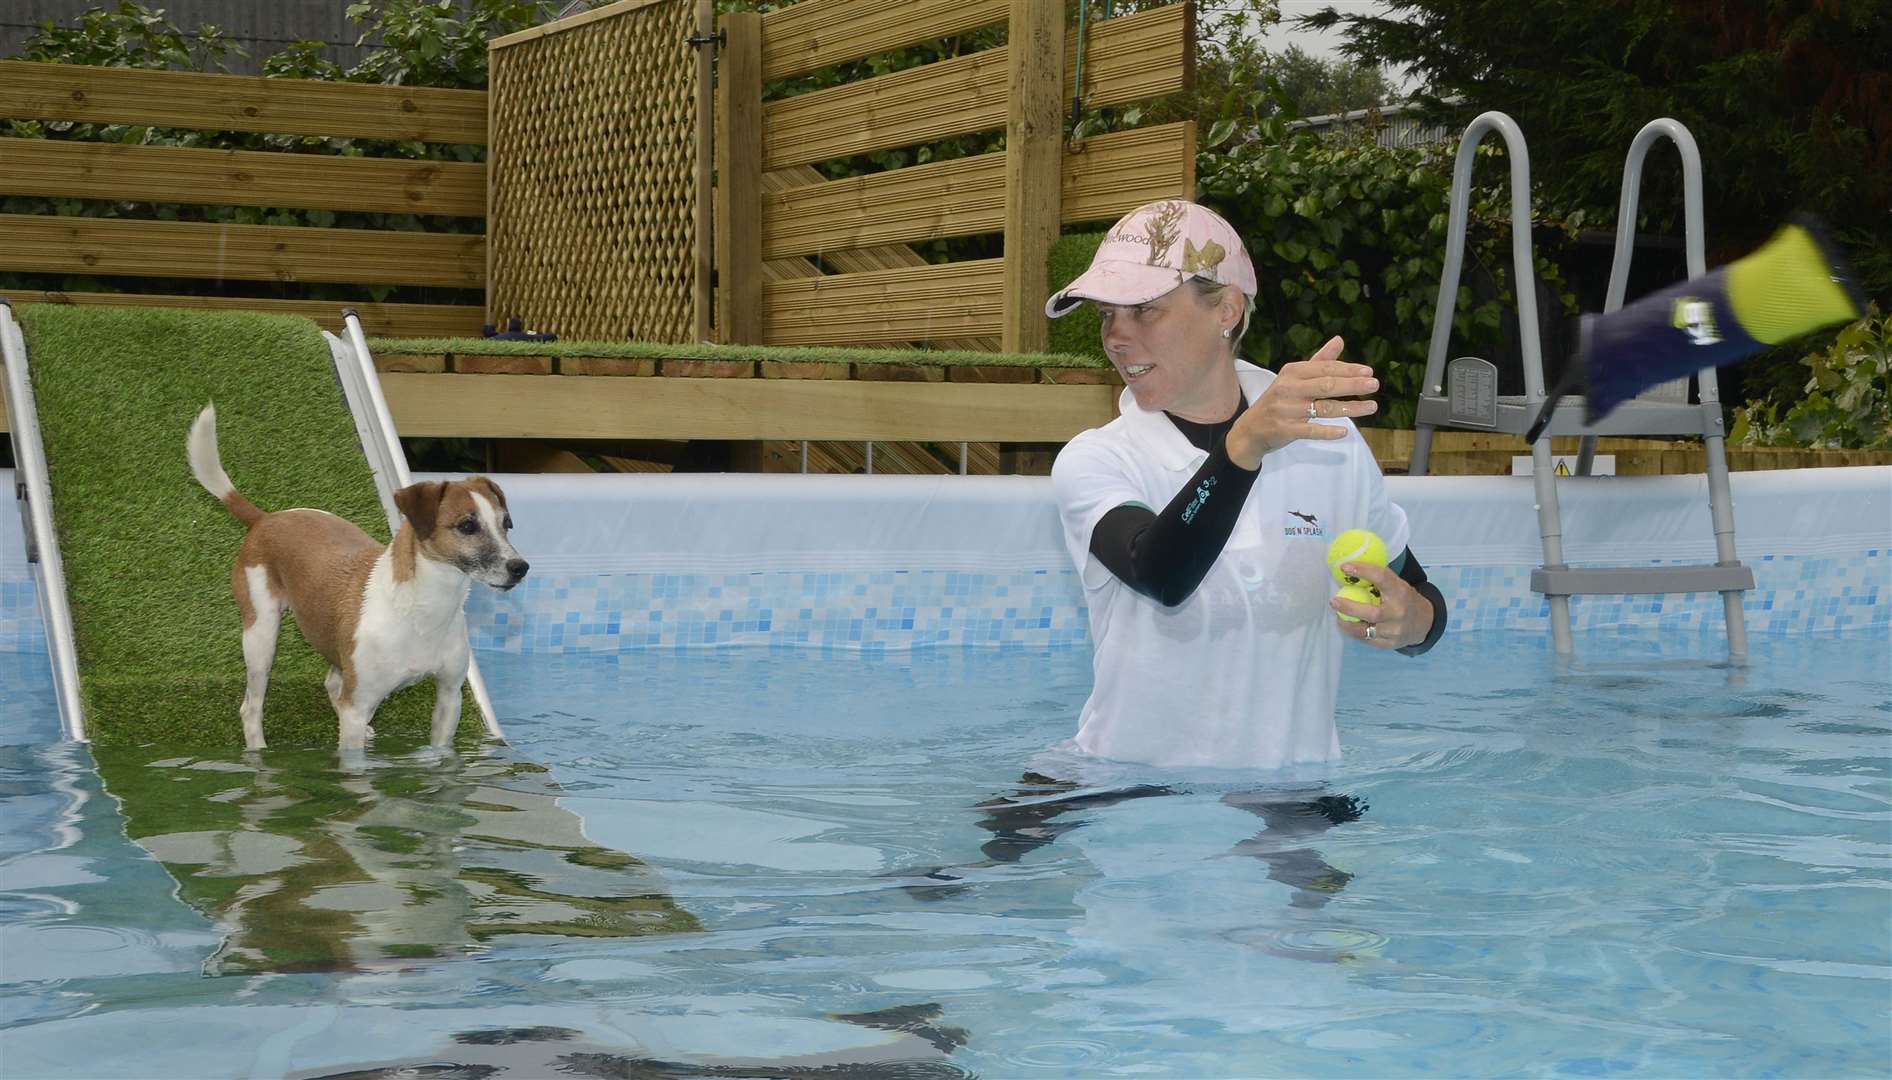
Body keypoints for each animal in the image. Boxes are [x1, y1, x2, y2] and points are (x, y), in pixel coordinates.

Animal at [187, 404, 525, 752]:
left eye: (506, 524)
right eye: (467, 526)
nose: (520, 567)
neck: (421, 611)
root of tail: (265, 519)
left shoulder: (449, 698)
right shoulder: (358, 705)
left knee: (331, 683)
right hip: (260, 637)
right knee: (251, 707)